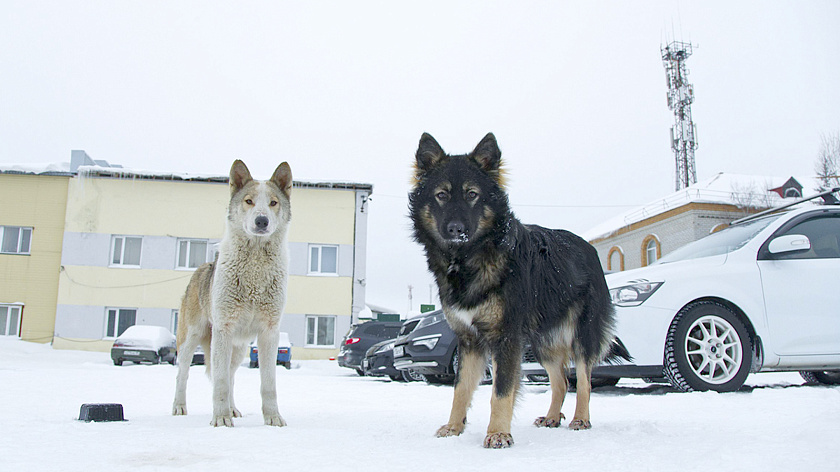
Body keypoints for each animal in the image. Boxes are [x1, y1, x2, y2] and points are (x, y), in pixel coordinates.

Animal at [171, 159, 292, 428]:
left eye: (273, 203)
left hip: (237, 349)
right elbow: (220, 383)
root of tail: (201, 269)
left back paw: (233, 408)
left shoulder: (269, 333)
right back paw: (179, 407)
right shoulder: (223, 330)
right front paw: (221, 419)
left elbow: (268, 384)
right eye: (248, 201)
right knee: (183, 374)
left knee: (231, 374)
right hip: (191, 339)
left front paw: (273, 418)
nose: (261, 221)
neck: (255, 268)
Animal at [406, 134, 624, 450]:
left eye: (472, 195)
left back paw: (580, 419)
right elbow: (461, 389)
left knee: (584, 378)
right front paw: (454, 427)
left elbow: (501, 391)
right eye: (442, 195)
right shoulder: (470, 341)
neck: (470, 257)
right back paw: (552, 418)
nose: (456, 229)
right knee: (561, 380)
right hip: (544, 342)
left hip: (582, 334)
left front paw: (498, 433)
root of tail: (590, 248)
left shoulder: (506, 338)